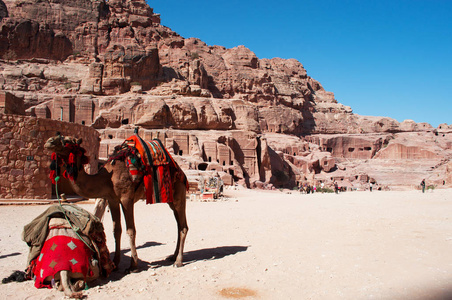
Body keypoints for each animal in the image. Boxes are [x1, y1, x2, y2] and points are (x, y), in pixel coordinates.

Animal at [43, 135, 188, 270]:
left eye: (68, 141)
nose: (49, 142)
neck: (107, 178)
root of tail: (181, 173)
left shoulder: (126, 198)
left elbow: (131, 230)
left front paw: (133, 265)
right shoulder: (112, 199)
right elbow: (116, 230)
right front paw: (115, 263)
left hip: (179, 194)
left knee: (183, 227)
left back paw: (178, 261)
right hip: (171, 201)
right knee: (179, 225)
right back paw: (173, 256)